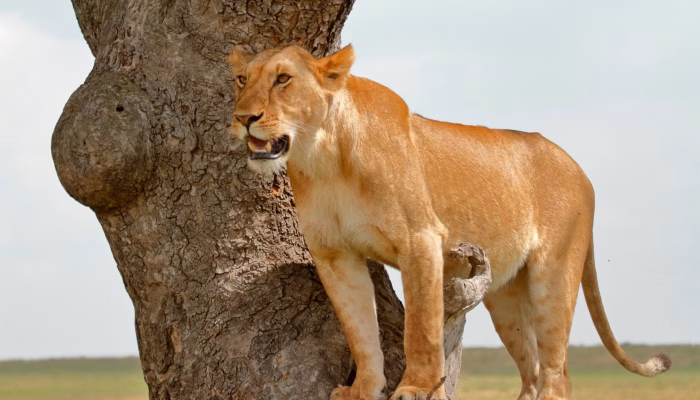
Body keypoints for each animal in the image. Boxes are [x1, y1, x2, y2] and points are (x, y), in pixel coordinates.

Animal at [227, 44, 671, 400]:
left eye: (283, 79)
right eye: (241, 79)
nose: (243, 117)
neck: (322, 158)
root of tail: (582, 171)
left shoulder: (420, 240)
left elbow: (421, 328)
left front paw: (415, 387)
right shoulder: (334, 254)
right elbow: (359, 332)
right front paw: (363, 389)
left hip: (554, 276)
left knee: (557, 375)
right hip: (503, 298)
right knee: (533, 372)